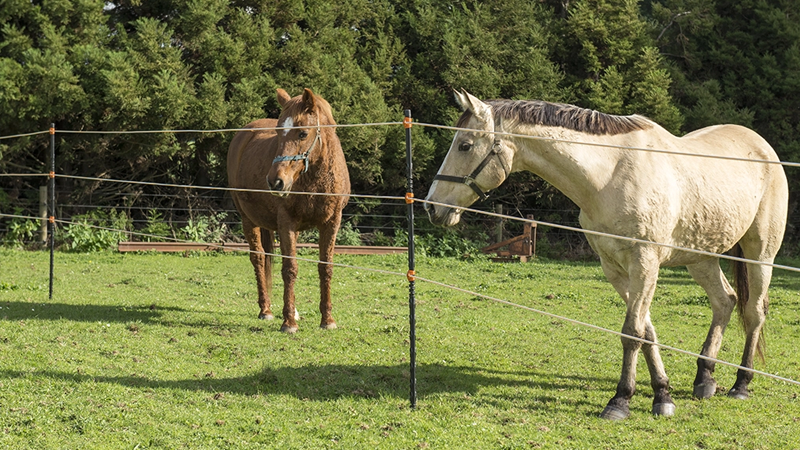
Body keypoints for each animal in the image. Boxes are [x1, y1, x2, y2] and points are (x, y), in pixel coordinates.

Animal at [227, 89, 348, 334]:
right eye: (277, 132)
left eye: (302, 133)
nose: (275, 181)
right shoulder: (287, 223)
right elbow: (290, 269)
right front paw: (288, 323)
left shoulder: (331, 223)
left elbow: (325, 268)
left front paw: (327, 320)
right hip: (248, 219)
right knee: (258, 258)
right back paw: (266, 310)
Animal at [424, 89, 788, 420]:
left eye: (465, 145)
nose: (431, 207)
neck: (609, 175)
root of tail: (763, 147)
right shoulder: (615, 268)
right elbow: (645, 332)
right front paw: (662, 394)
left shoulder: (644, 264)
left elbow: (632, 332)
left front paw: (620, 401)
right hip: (701, 258)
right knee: (724, 301)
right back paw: (705, 378)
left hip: (759, 254)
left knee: (754, 311)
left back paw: (741, 384)